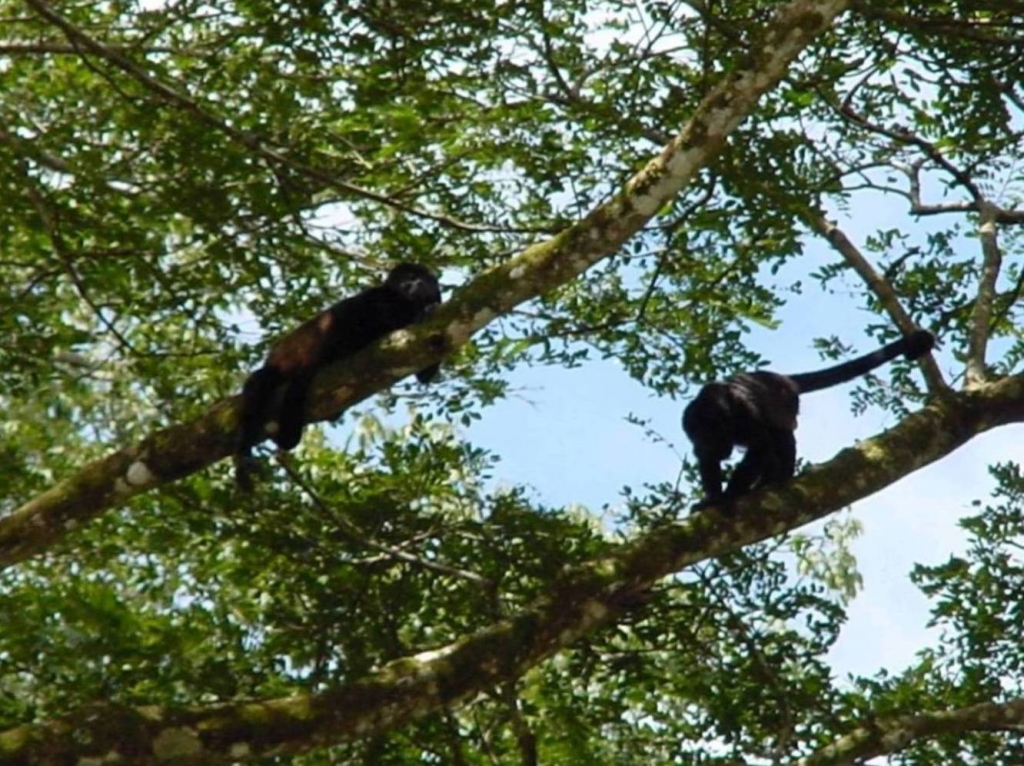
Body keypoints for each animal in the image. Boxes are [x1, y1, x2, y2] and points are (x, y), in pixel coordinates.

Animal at [235, 264, 444, 487]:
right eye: (407, 278)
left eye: (421, 277)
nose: (415, 283)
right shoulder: (377, 298)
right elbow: (363, 321)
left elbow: (426, 366)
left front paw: (428, 310)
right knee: (260, 382)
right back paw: (244, 455)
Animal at [679, 329, 937, 505]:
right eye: (694, 434)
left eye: (710, 432)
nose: (701, 444)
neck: (721, 411)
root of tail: (783, 378)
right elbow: (709, 460)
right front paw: (712, 500)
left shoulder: (743, 414)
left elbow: (761, 446)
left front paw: (730, 495)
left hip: (787, 403)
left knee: (781, 434)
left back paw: (777, 479)